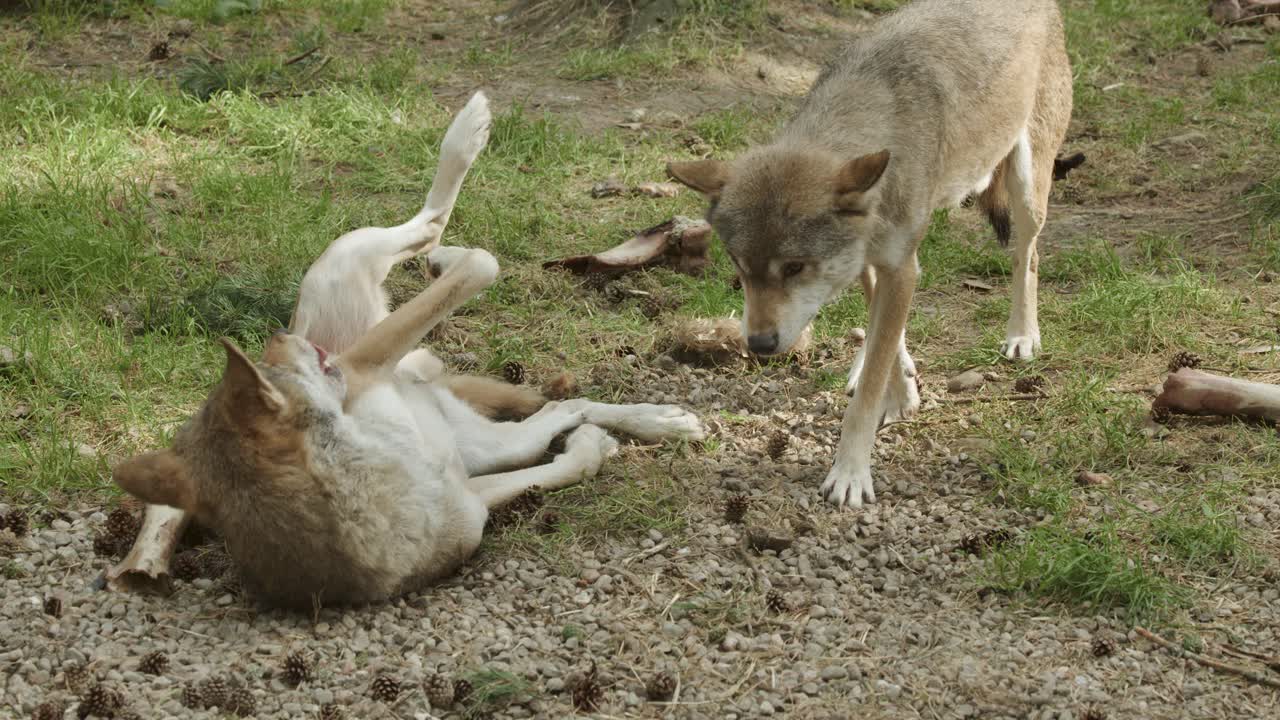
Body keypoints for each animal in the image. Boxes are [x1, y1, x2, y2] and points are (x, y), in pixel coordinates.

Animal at [112, 92, 705, 609]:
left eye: (267, 363)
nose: (280, 338)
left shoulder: (368, 371)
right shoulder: (462, 486)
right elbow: (486, 268)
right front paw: (591, 448)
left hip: (351, 259)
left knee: (430, 231)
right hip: (459, 411)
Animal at [667, 0, 1072, 507]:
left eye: (795, 267)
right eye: (740, 269)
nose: (758, 346)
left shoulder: (900, 266)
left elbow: (870, 385)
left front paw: (850, 473)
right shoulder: (872, 262)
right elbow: (885, 341)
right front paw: (901, 392)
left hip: (1027, 188)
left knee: (1028, 257)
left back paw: (1022, 335)